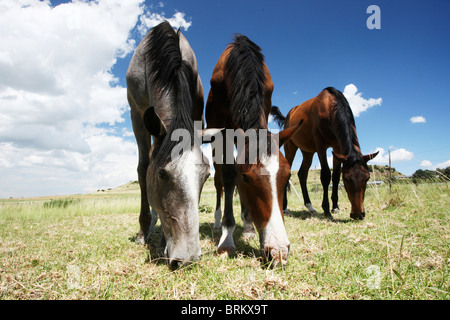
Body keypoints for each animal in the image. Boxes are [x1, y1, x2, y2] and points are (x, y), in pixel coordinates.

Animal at [125, 21, 213, 268]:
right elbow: (143, 168)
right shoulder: (137, 114)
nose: (188, 258)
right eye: (162, 174)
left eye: (206, 176)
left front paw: (164, 240)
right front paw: (144, 230)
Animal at [206, 35, 300, 268]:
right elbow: (229, 176)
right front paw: (227, 239)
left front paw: (247, 227)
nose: (278, 251)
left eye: (287, 177)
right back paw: (218, 223)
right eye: (247, 178)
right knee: (220, 182)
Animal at [270, 87, 380, 220]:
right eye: (347, 179)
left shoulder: (337, 147)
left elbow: (336, 176)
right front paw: (327, 210)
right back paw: (285, 208)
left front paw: (335, 207)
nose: (358, 214)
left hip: (307, 152)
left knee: (302, 174)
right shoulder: (321, 146)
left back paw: (310, 206)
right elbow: (326, 175)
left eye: (367, 178)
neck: (329, 107)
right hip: (290, 147)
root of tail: (289, 115)